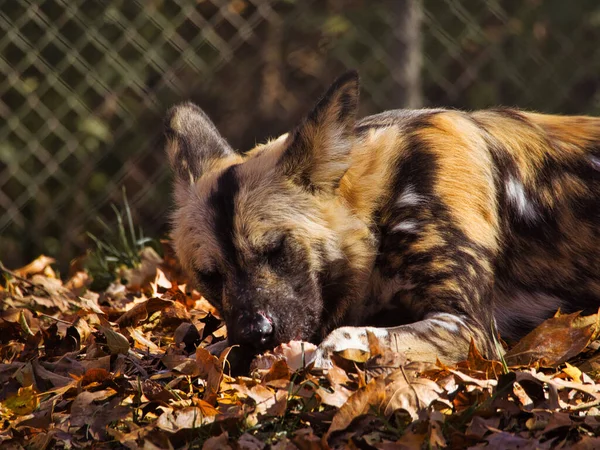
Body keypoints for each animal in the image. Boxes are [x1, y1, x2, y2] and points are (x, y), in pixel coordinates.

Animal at [163, 70, 600, 366]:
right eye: (210, 275)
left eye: (276, 249)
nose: (256, 334)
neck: (381, 202)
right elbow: (209, 349)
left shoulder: (468, 327)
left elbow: (339, 339)